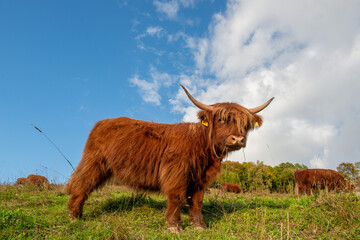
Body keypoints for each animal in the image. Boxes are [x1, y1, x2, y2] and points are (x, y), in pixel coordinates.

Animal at [65, 84, 272, 232]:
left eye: (245, 124)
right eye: (222, 120)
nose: (238, 139)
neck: (203, 149)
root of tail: (102, 122)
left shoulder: (201, 179)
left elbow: (197, 201)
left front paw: (199, 226)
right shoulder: (176, 173)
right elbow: (177, 198)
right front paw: (175, 226)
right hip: (94, 162)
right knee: (81, 184)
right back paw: (74, 216)